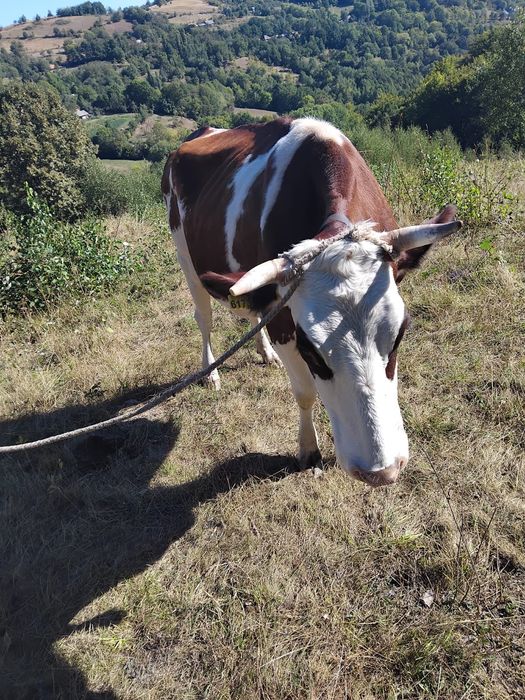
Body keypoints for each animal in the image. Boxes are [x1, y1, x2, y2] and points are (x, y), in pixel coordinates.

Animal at [162, 118, 461, 487]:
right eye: (311, 350)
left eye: (400, 335)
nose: (381, 471)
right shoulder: (282, 319)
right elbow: (305, 391)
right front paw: (309, 451)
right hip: (185, 255)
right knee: (204, 316)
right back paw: (211, 373)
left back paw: (264, 353)